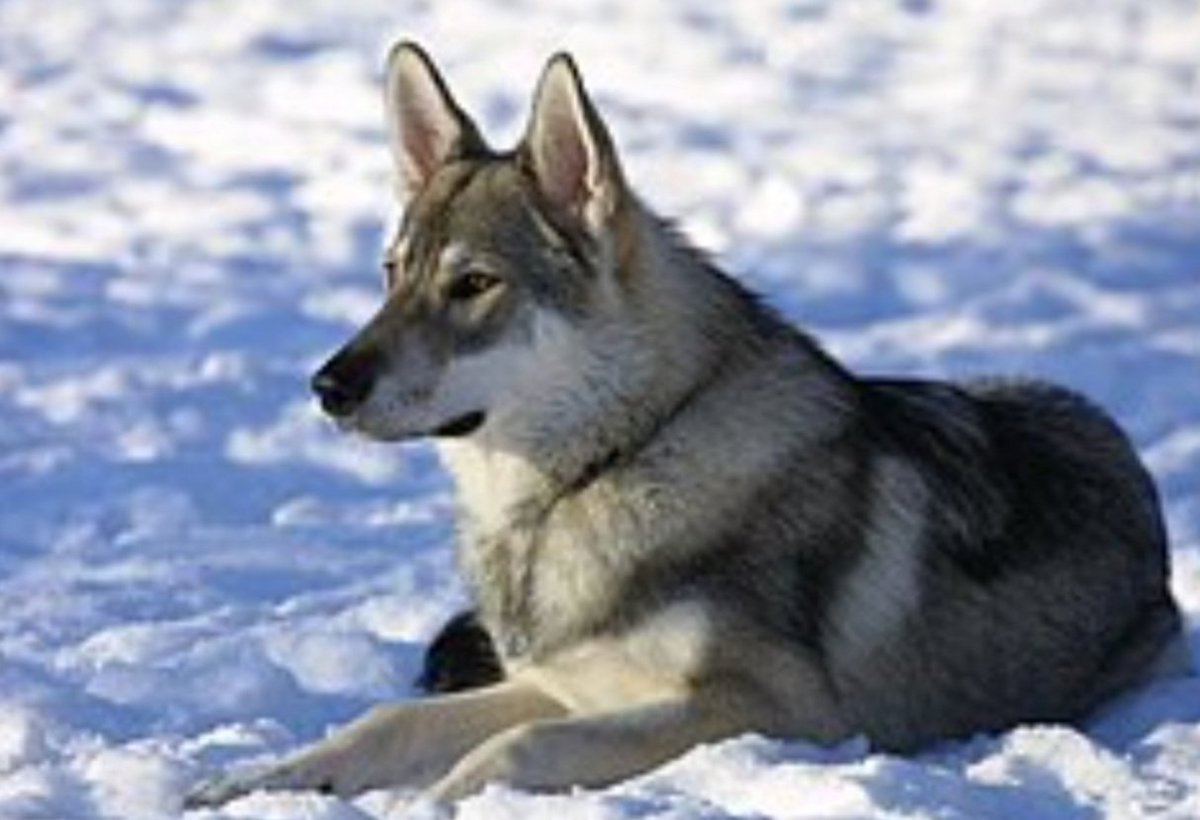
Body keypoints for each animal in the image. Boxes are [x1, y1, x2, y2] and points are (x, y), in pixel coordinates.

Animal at [185, 41, 1189, 809]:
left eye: (473, 284)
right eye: (392, 275)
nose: (327, 386)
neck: (599, 470)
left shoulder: (781, 712)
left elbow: (510, 752)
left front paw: (430, 804)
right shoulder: (555, 686)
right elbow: (385, 722)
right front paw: (256, 783)